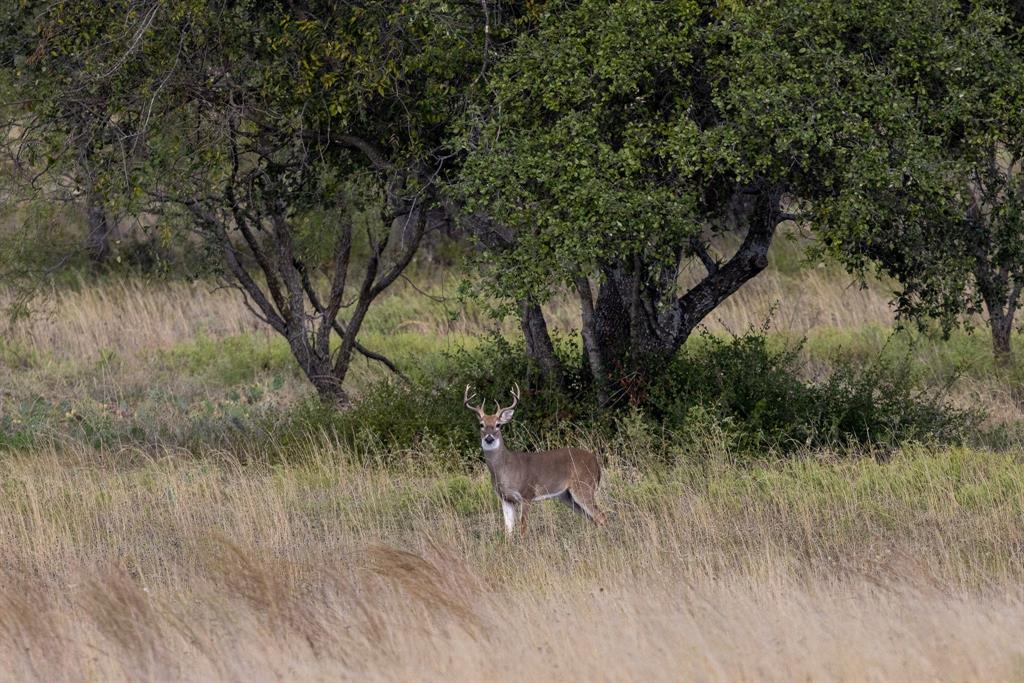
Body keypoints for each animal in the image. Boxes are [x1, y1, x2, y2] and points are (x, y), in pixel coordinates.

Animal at [464, 383, 606, 536]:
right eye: (481, 424)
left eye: (498, 425)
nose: (489, 438)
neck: (505, 469)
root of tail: (596, 462)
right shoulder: (505, 498)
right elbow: (508, 531)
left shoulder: (527, 493)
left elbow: (523, 528)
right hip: (566, 495)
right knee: (592, 518)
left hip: (584, 485)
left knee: (601, 516)